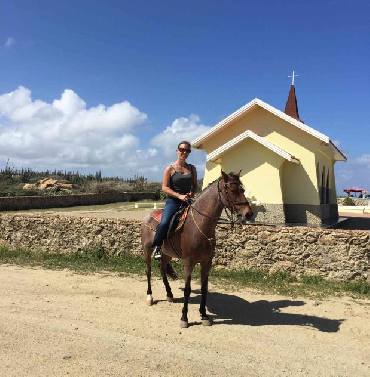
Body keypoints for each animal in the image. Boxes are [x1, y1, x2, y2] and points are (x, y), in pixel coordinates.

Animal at [140, 170, 253, 326]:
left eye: (242, 190)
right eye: (231, 190)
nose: (248, 213)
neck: (200, 225)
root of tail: (148, 216)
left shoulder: (206, 262)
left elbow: (204, 288)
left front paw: (204, 315)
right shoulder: (189, 262)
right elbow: (187, 289)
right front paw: (184, 318)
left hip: (166, 253)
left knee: (162, 269)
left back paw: (169, 294)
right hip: (147, 250)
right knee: (148, 271)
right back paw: (150, 297)